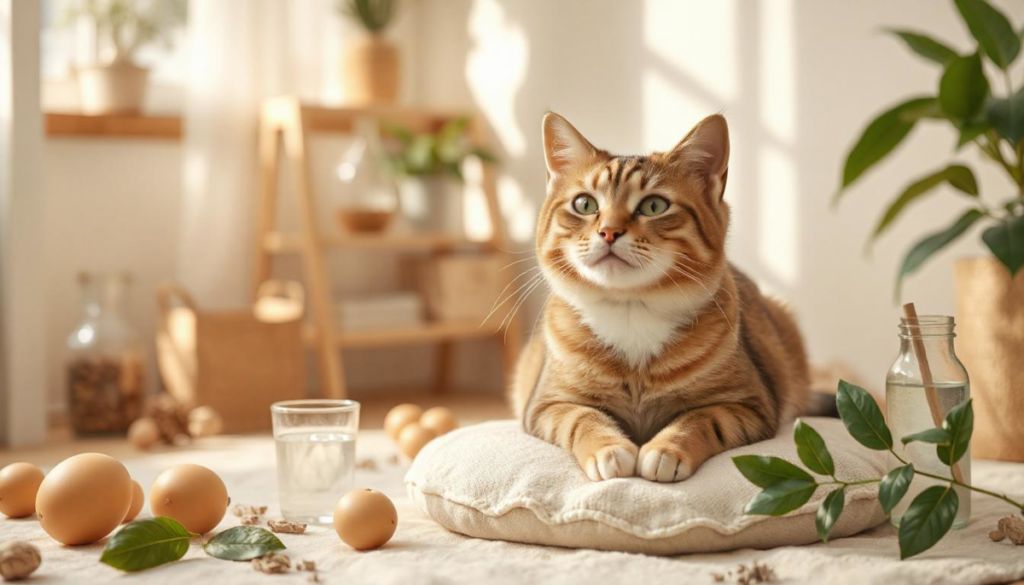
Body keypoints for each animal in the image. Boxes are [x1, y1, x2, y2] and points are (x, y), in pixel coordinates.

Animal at [509, 114, 806, 485]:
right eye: (585, 204)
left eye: (654, 206)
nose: (609, 231)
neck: (631, 310)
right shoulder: (546, 405)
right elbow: (581, 419)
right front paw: (609, 449)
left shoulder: (750, 405)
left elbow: (702, 419)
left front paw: (666, 450)